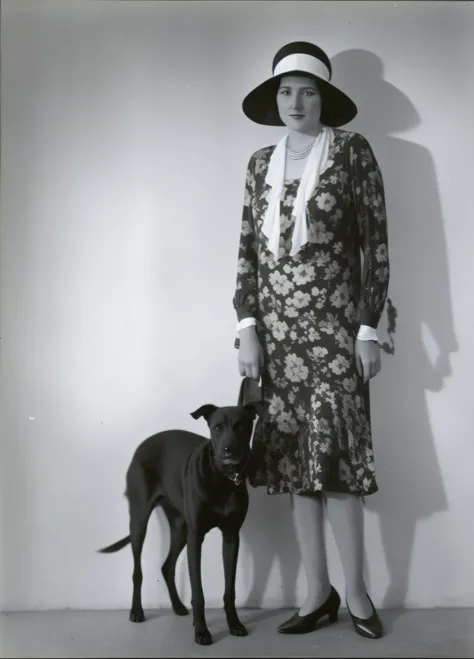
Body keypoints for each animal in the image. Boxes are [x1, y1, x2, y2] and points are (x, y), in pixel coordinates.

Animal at [97, 400, 262, 648]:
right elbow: (198, 592)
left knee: (167, 566)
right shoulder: (196, 536)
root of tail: (142, 445)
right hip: (140, 521)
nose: (228, 450)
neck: (222, 478)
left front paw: (234, 624)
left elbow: (230, 588)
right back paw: (137, 611)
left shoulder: (231, 536)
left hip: (179, 527)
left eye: (241, 426)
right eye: (217, 428)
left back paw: (177, 606)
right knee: (138, 571)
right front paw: (201, 632)